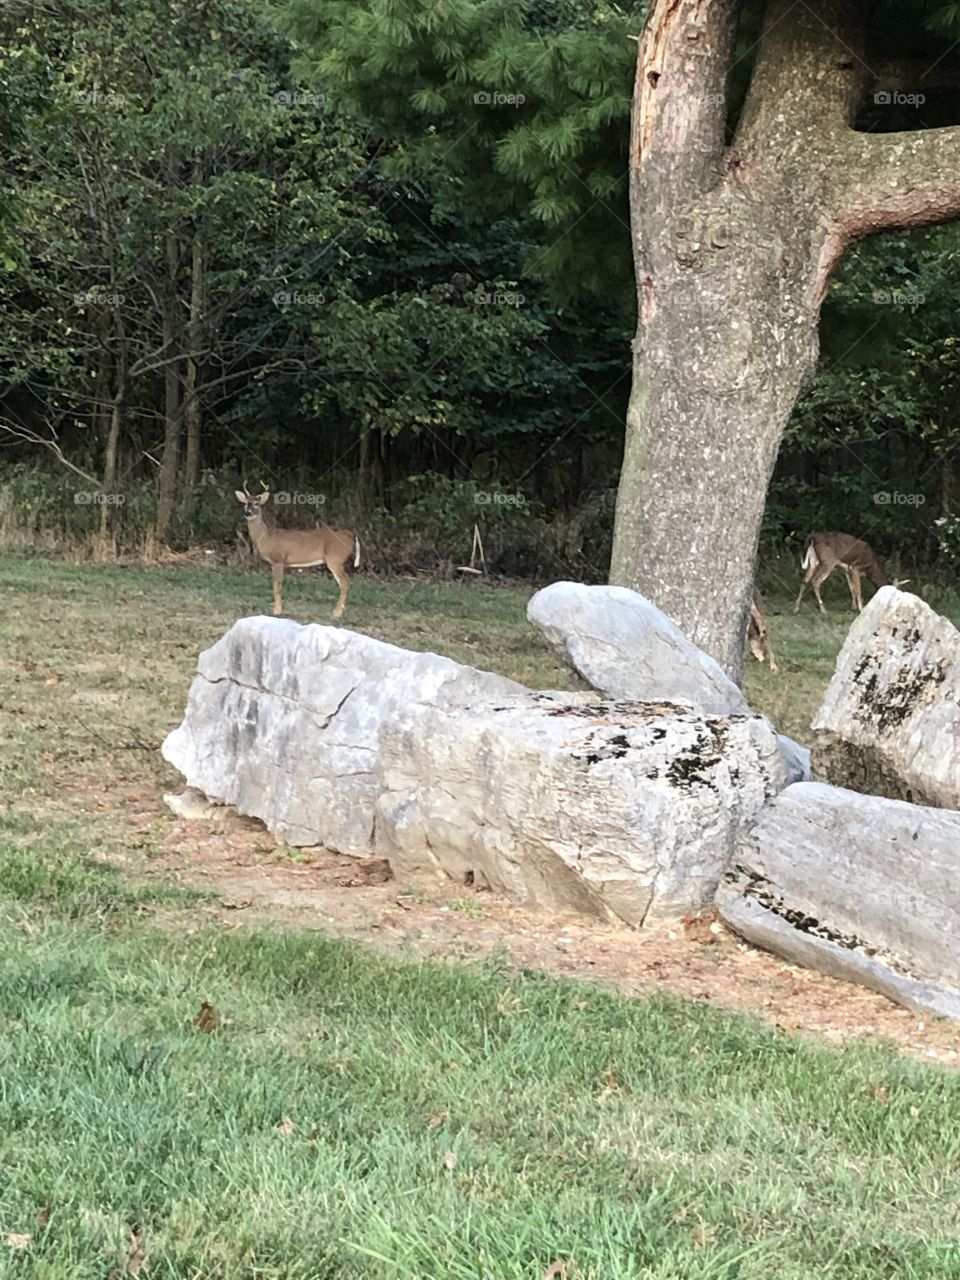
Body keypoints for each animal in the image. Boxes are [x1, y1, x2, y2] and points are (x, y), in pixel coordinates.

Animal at [235, 487, 360, 619]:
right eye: (245, 503)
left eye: (256, 504)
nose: (247, 513)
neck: (266, 538)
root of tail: (351, 535)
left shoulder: (278, 559)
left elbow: (276, 585)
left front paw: (277, 611)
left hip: (335, 559)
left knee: (345, 582)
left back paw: (336, 613)